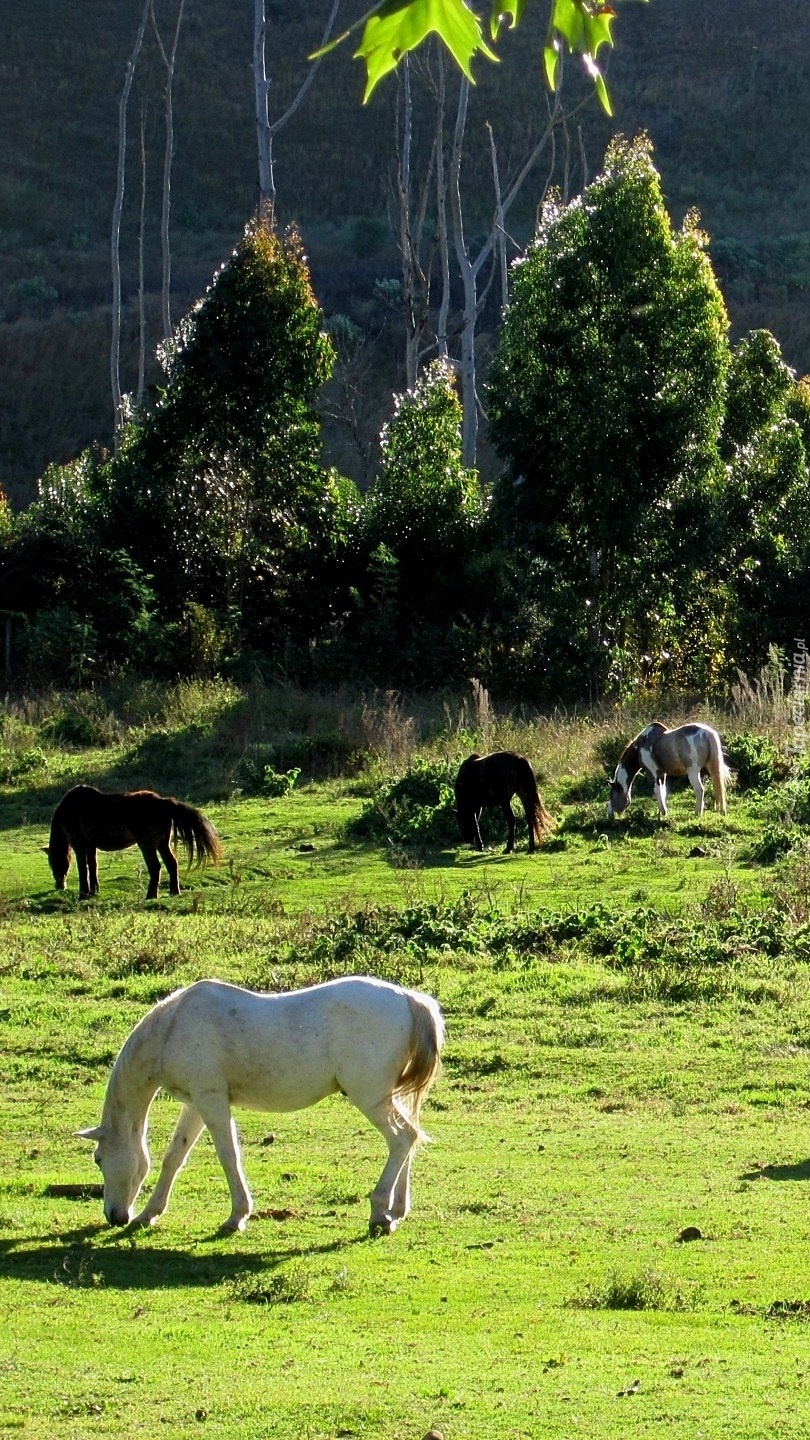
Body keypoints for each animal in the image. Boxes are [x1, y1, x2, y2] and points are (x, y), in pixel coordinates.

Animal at [47, 789, 223, 898]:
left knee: (156, 867)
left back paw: (151, 895)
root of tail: (162, 802)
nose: (59, 886)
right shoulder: (91, 845)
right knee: (172, 863)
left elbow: (83, 868)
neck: (69, 809)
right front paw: (93, 891)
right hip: (162, 843)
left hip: (147, 845)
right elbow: (93, 866)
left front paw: (83, 893)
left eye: (53, 863)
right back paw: (174, 891)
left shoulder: (79, 844)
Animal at [75, 973, 441, 1232]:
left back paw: (380, 1211)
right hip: (386, 1098)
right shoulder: (196, 1103)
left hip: (370, 1098)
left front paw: (236, 1217)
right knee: (409, 1138)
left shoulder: (211, 1101)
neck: (173, 1027)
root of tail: (410, 999)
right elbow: (174, 1157)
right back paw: (397, 1210)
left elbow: (228, 1156)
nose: (115, 1216)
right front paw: (149, 1214)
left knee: (401, 1138)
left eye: (98, 1159)